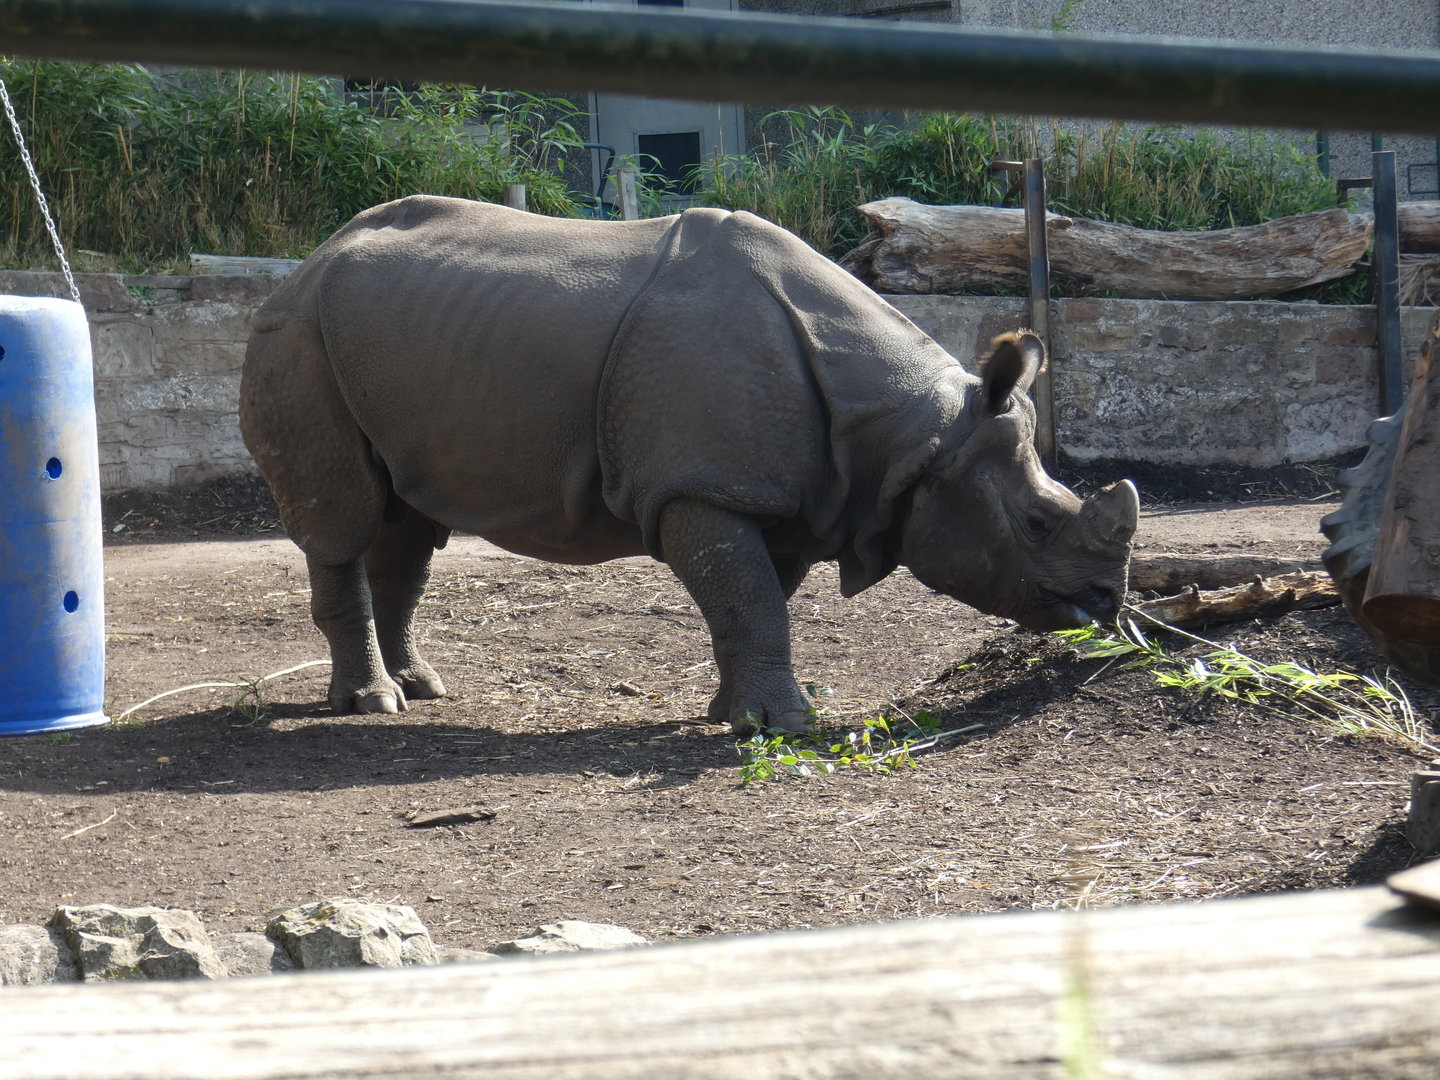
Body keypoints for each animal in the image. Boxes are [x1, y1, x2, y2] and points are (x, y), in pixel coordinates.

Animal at [240, 195, 1137, 732]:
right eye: (1038, 522)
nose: (1107, 602)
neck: (914, 441)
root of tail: (307, 260)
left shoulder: (783, 497)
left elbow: (752, 602)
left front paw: (732, 714)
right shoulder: (703, 490)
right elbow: (749, 600)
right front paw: (786, 728)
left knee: (407, 524)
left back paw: (423, 687)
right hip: (297, 335)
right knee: (343, 519)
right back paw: (371, 704)